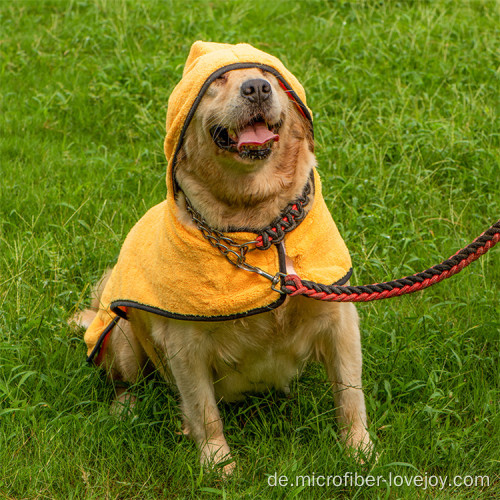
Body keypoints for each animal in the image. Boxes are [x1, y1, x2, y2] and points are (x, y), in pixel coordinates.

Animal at [73, 65, 372, 472]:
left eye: (268, 76)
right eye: (217, 82)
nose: (257, 88)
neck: (259, 228)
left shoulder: (339, 320)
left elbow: (350, 393)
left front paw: (359, 449)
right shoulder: (185, 345)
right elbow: (204, 410)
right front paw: (217, 462)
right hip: (121, 336)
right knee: (127, 383)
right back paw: (126, 409)